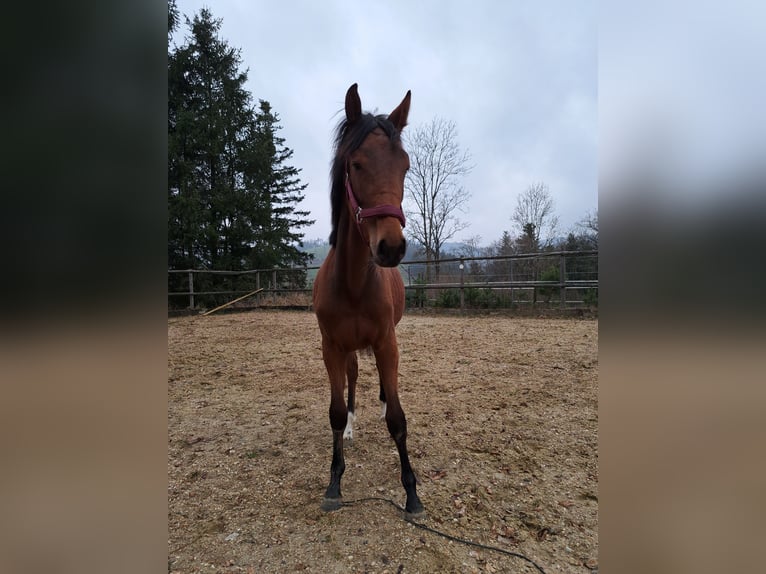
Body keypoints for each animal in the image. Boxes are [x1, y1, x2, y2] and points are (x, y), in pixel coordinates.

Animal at [312, 83, 424, 516]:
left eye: (405, 166)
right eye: (356, 165)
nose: (390, 247)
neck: (354, 283)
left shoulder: (386, 342)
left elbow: (398, 418)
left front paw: (411, 492)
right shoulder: (332, 347)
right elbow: (334, 412)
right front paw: (334, 482)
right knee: (355, 380)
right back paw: (355, 422)